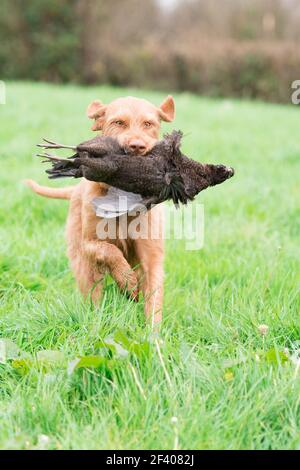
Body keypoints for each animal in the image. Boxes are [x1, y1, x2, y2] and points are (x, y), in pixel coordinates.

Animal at [27, 93, 176, 324]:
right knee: (93, 293)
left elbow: (154, 298)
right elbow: (109, 250)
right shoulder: (87, 243)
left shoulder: (151, 255)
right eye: (118, 122)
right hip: (83, 265)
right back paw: (95, 321)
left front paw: (153, 332)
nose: (137, 147)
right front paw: (127, 282)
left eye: (148, 124)